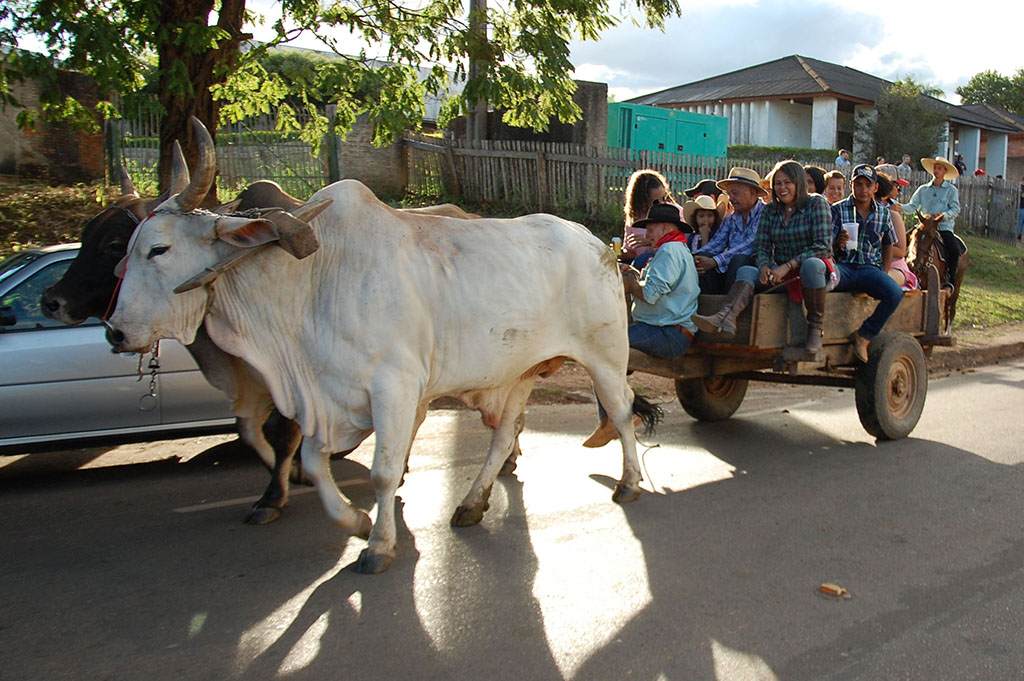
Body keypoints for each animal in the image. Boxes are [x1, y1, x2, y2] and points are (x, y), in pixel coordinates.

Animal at [106, 118, 654, 574]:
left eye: (159, 249)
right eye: (126, 249)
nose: (115, 331)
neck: (310, 282)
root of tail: (598, 245)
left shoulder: (395, 389)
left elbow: (383, 473)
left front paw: (378, 547)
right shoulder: (324, 396)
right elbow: (313, 463)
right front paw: (355, 522)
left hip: (605, 357)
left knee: (621, 411)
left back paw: (629, 483)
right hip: (518, 370)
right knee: (504, 436)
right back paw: (470, 504)